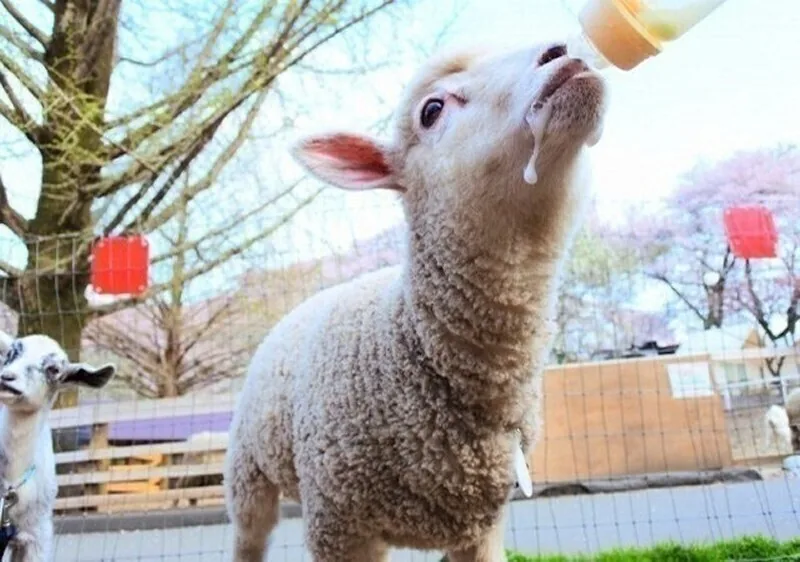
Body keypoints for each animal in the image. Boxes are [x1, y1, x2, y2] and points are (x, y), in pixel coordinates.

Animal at [224, 40, 607, 562]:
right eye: (431, 110)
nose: (560, 51)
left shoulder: (483, 529)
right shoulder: (338, 524)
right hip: (248, 473)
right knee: (249, 535)